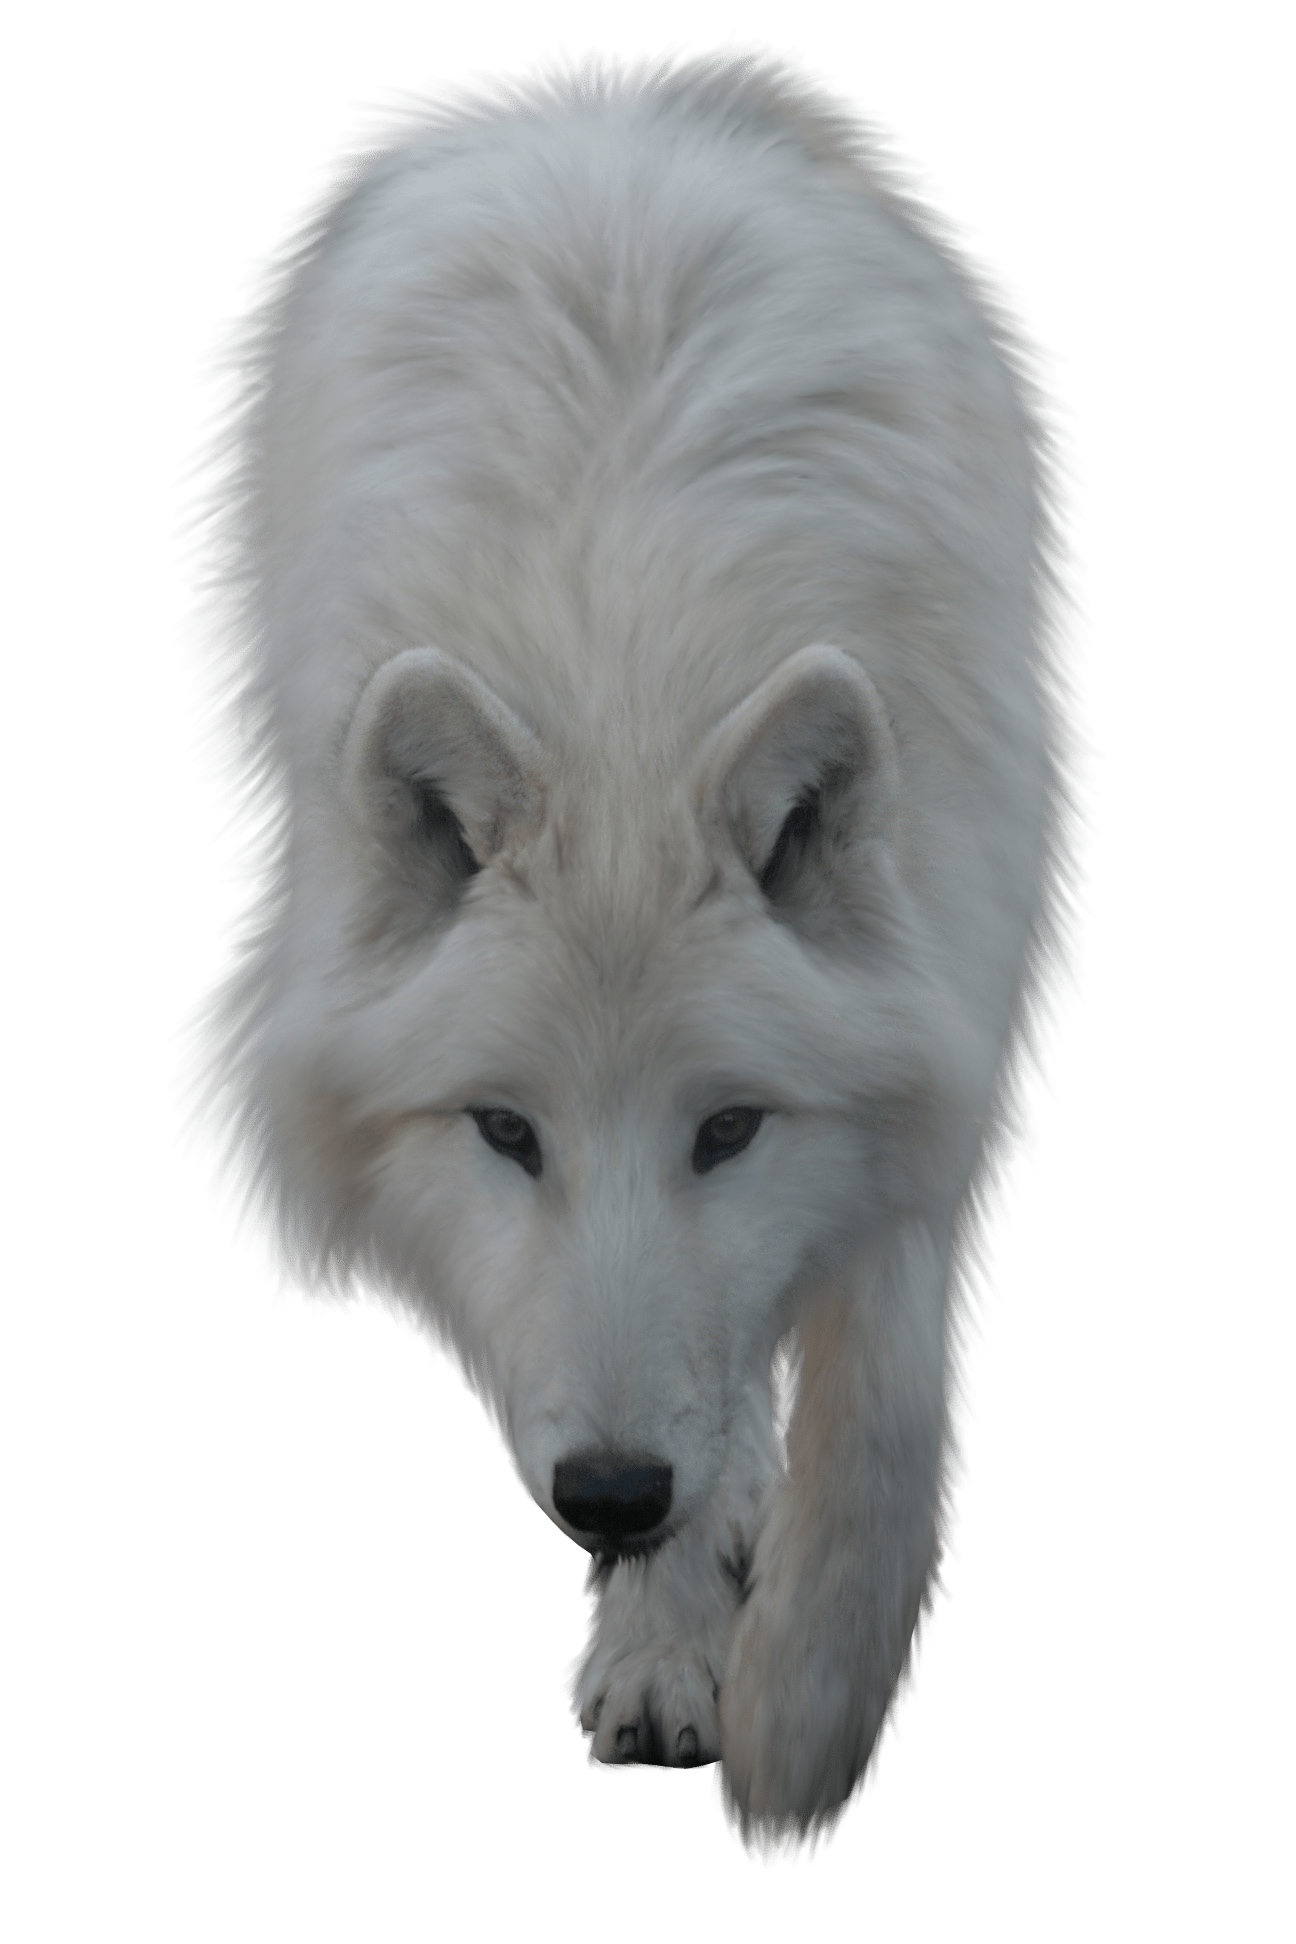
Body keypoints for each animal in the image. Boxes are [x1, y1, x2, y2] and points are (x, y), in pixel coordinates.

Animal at [169, 36, 1097, 1865]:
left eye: (728, 1125)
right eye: (502, 1129)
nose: (608, 1493)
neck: (627, 672)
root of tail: (594, 68)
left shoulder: (941, 1033)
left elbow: (878, 1402)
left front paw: (804, 1724)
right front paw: (674, 1635)